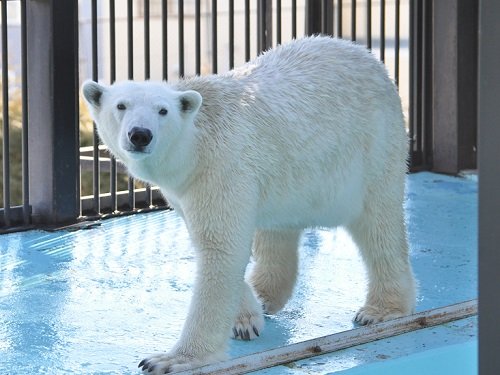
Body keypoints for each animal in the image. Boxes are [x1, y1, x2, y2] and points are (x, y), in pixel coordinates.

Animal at [82, 36, 416, 375]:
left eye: (163, 111)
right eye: (121, 106)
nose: (140, 134)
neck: (195, 146)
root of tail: (367, 56)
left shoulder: (221, 166)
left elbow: (220, 249)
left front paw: (171, 359)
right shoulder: (186, 190)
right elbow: (220, 247)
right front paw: (245, 319)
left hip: (373, 146)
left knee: (378, 224)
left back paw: (381, 309)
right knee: (279, 226)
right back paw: (266, 294)